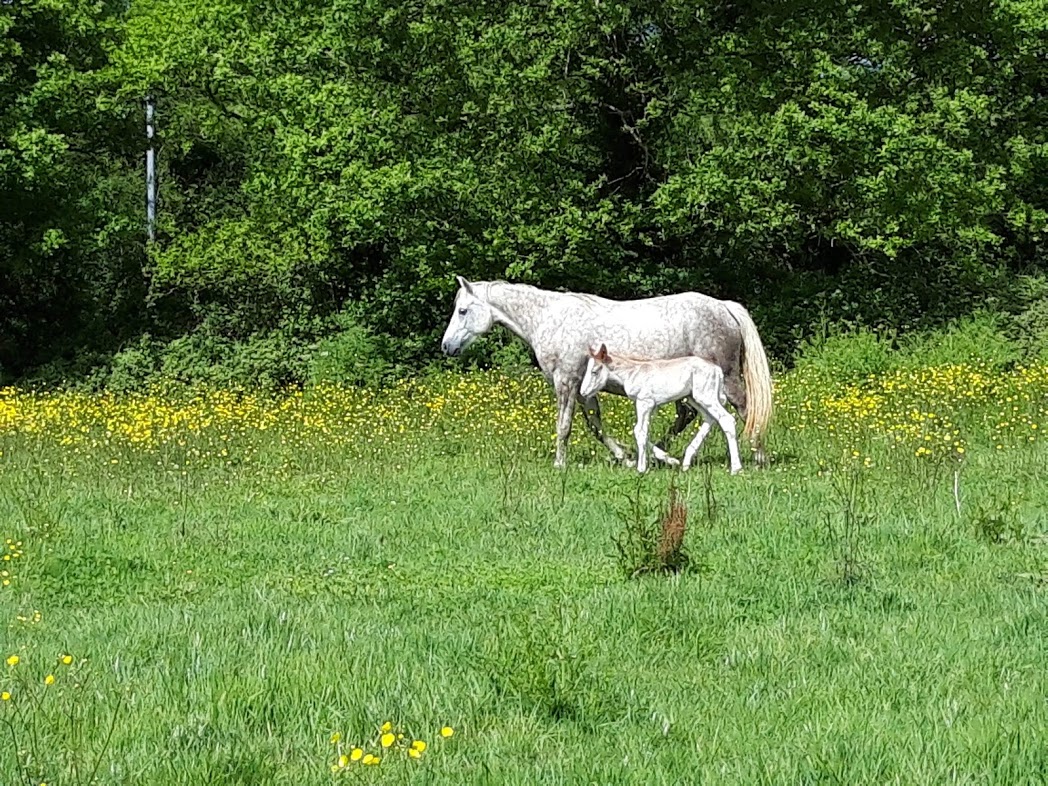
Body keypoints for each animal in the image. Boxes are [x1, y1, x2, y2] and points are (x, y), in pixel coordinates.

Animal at [578, 343, 741, 473]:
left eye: (595, 371)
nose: (583, 392)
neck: (633, 372)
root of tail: (717, 370)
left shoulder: (644, 402)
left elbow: (639, 431)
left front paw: (641, 468)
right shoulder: (652, 406)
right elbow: (644, 431)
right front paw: (668, 459)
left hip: (706, 396)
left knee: (726, 419)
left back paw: (736, 468)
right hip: (694, 398)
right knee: (709, 418)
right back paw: (686, 462)